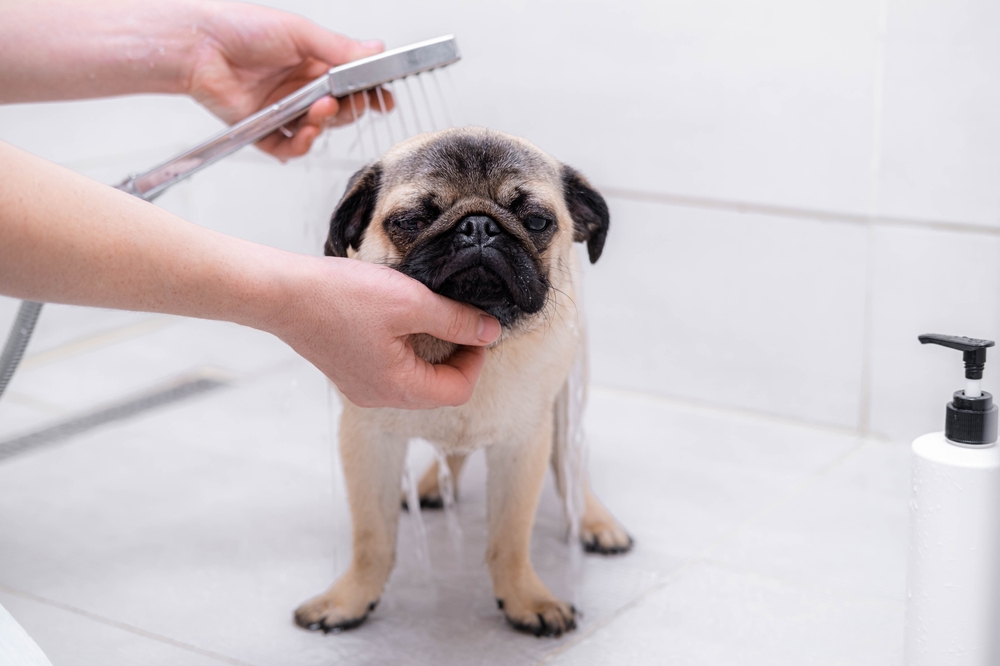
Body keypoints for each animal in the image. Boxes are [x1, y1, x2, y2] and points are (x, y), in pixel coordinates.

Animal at [292, 126, 628, 640]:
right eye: (411, 220)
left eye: (536, 221)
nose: (478, 228)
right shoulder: (367, 440)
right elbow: (371, 538)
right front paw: (349, 600)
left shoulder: (522, 445)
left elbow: (510, 538)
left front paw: (526, 599)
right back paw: (433, 487)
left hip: (569, 396)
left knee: (569, 465)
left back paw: (594, 521)